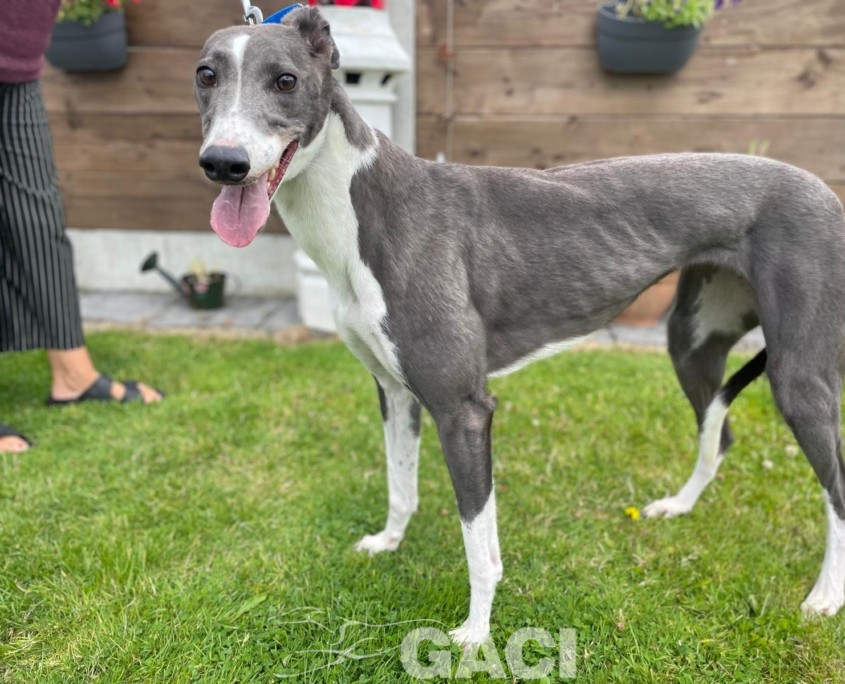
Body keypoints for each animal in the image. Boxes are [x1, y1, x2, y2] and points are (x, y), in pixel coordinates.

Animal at [195, 7, 845, 645]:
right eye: (206, 74)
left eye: (286, 80)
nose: (224, 163)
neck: (365, 208)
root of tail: (823, 189)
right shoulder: (396, 393)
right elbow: (401, 487)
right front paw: (388, 543)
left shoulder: (463, 409)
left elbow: (479, 543)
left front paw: (475, 634)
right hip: (691, 343)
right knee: (720, 429)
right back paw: (678, 507)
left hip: (798, 379)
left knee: (835, 486)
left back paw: (824, 598)